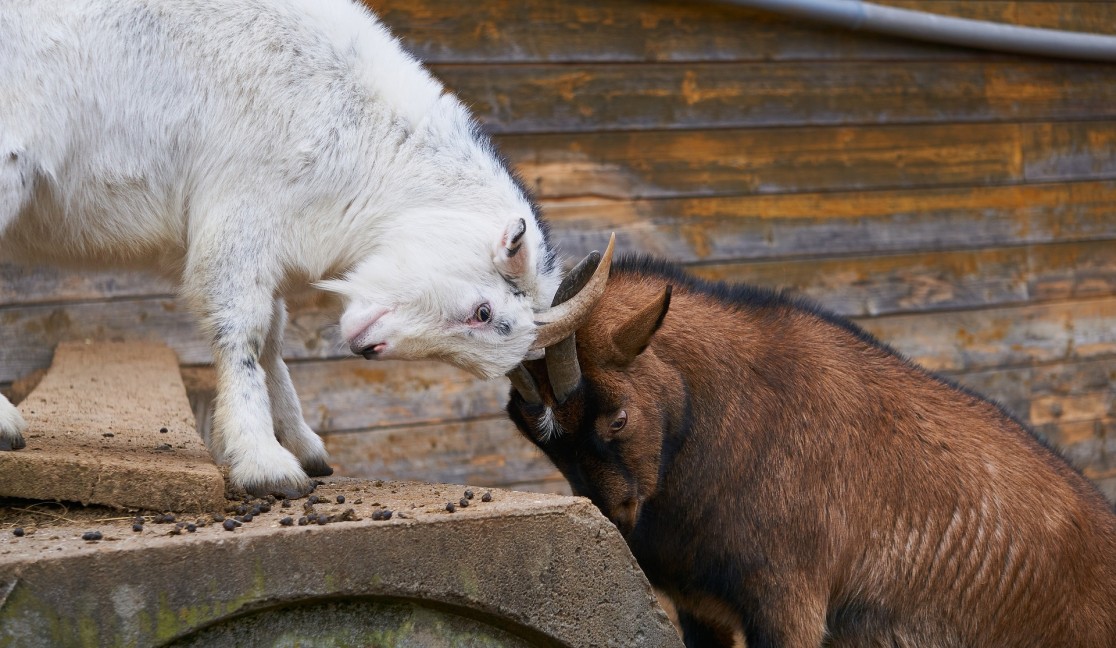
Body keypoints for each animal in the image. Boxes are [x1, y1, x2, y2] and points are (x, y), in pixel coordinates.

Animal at [2, 0, 611, 497]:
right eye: (483, 312)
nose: (368, 348)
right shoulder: (239, 214)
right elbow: (245, 328)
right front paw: (265, 464)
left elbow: (274, 335)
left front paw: (304, 446)